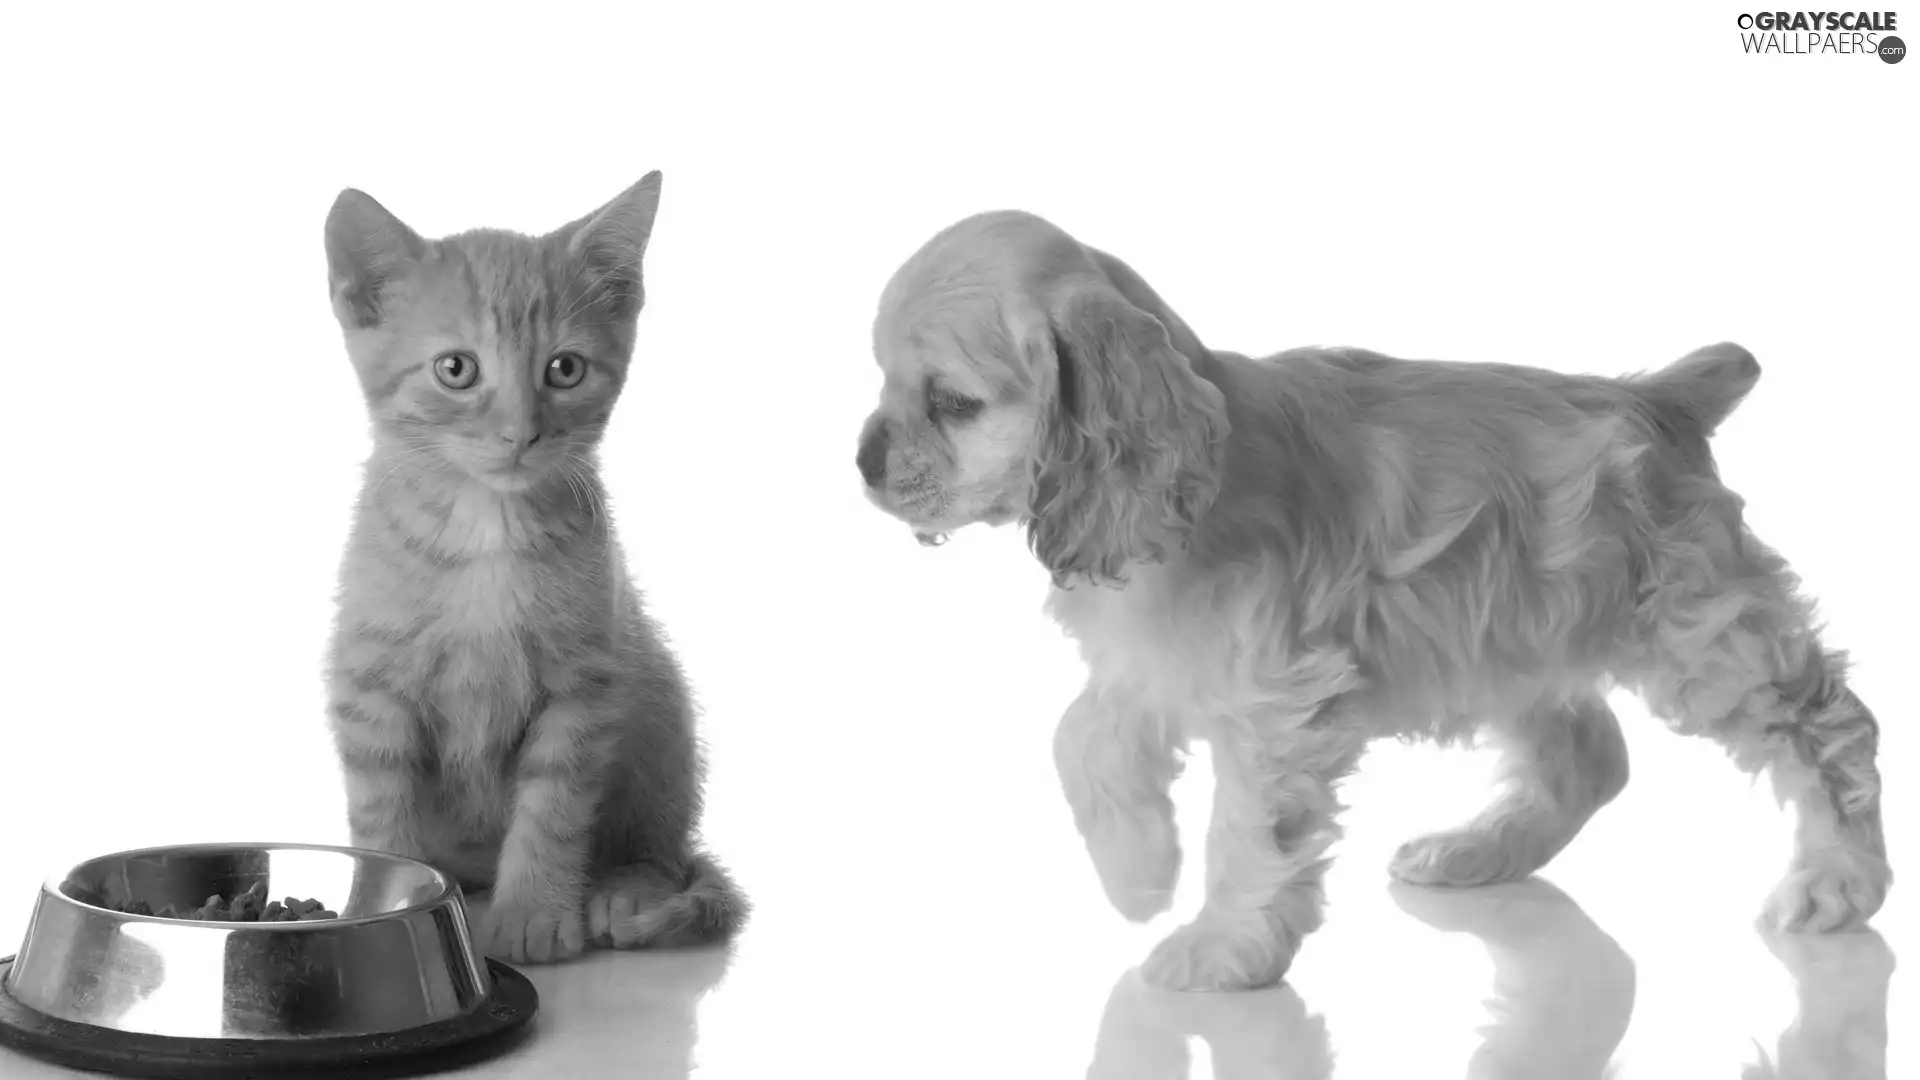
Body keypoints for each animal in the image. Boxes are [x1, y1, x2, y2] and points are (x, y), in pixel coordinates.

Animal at [322, 174, 741, 957]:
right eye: (456, 369)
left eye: (564, 369)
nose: (521, 433)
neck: (485, 525)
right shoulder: (371, 687)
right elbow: (380, 814)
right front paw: (377, 909)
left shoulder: (584, 688)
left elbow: (554, 808)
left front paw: (533, 915)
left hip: (659, 703)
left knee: (663, 848)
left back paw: (622, 889)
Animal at [856, 205, 1889, 991]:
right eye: (884, 380)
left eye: (952, 402)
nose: (862, 460)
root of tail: (1657, 398)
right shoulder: (1149, 664)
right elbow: (1079, 739)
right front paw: (1138, 873)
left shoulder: (1276, 707)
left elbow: (1246, 832)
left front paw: (1218, 948)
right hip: (1513, 637)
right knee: (1591, 756)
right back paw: (1472, 854)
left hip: (1701, 633)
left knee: (1830, 727)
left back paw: (1839, 885)